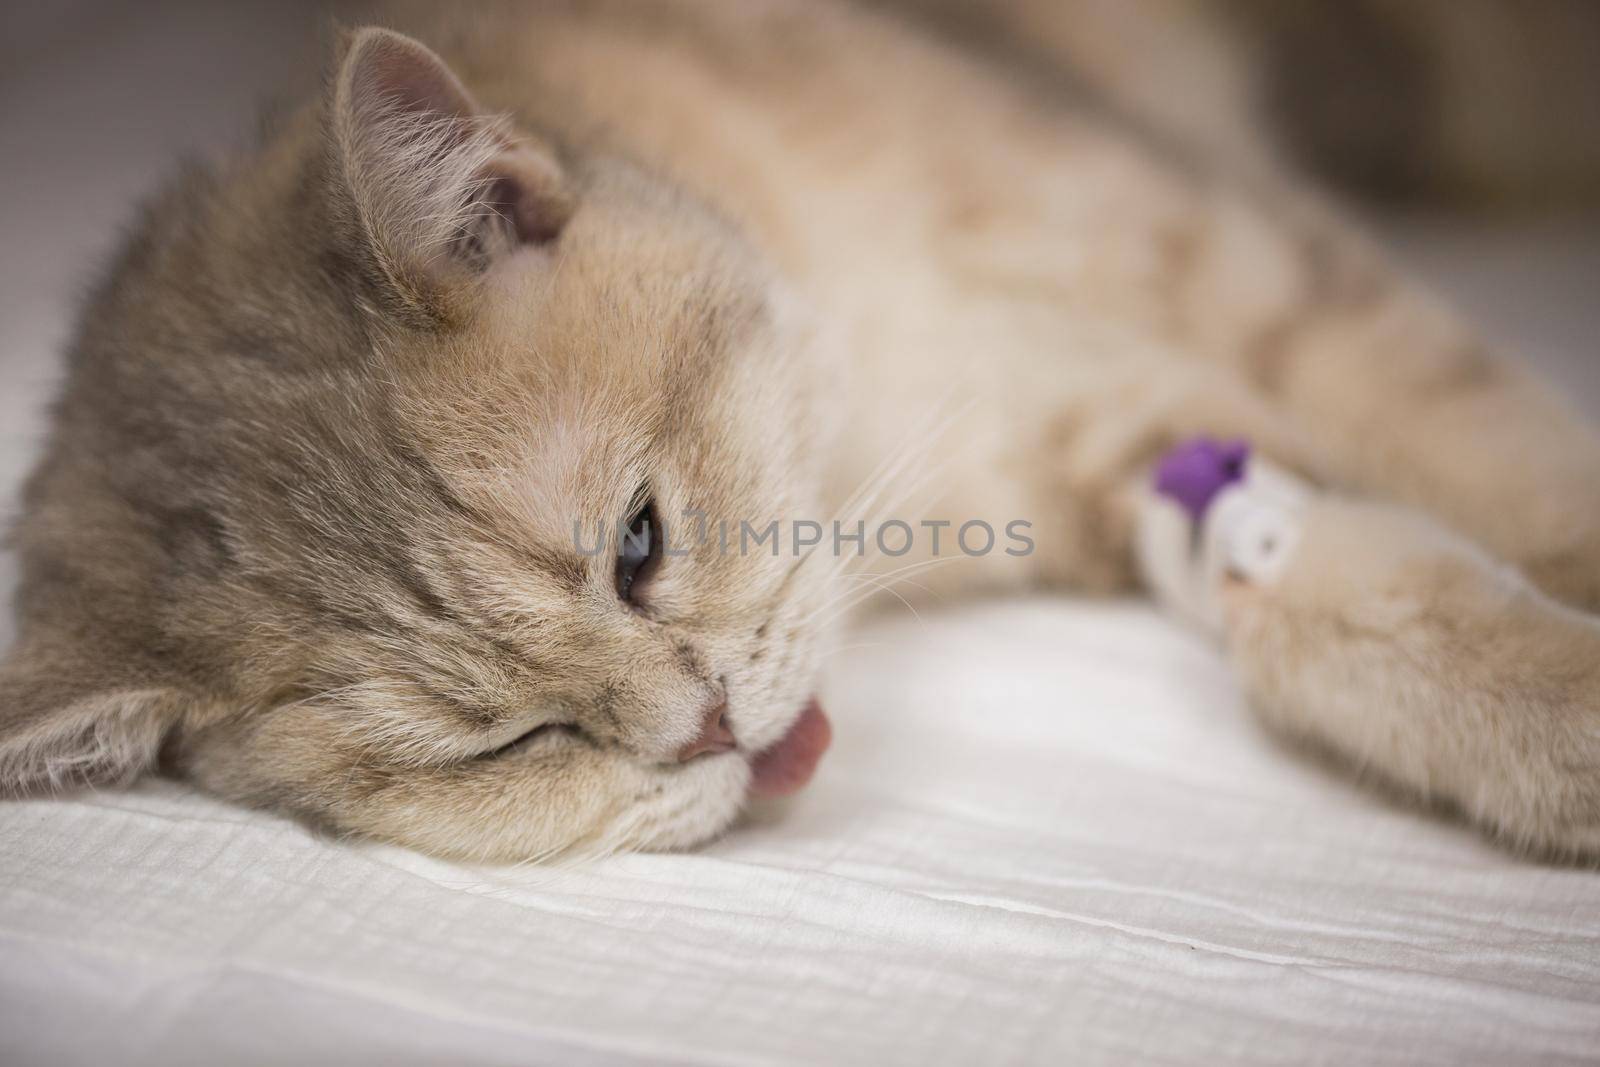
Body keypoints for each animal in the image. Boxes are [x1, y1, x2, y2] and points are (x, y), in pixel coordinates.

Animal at [3, 0, 1600, 863]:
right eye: (505, 746)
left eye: (639, 543)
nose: (710, 727)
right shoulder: (1153, 451)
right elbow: (1367, 605)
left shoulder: (1260, 274)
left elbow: (1507, 462)